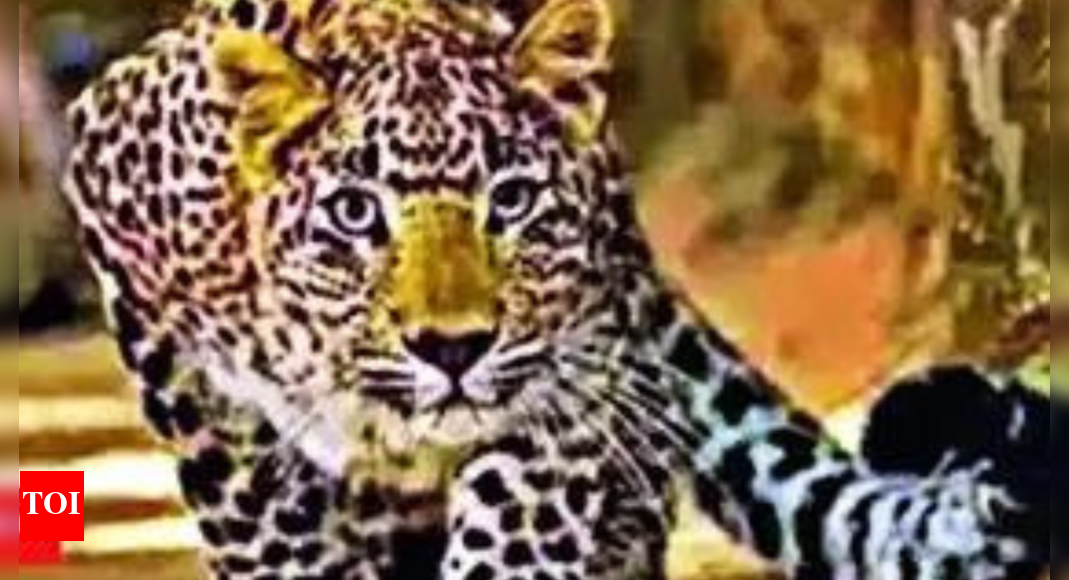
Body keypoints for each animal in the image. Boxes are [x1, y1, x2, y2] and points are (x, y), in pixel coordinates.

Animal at [61, 0, 1050, 579]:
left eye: (512, 199)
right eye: (354, 212)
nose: (453, 347)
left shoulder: (573, 386)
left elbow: (515, 532)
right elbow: (273, 532)